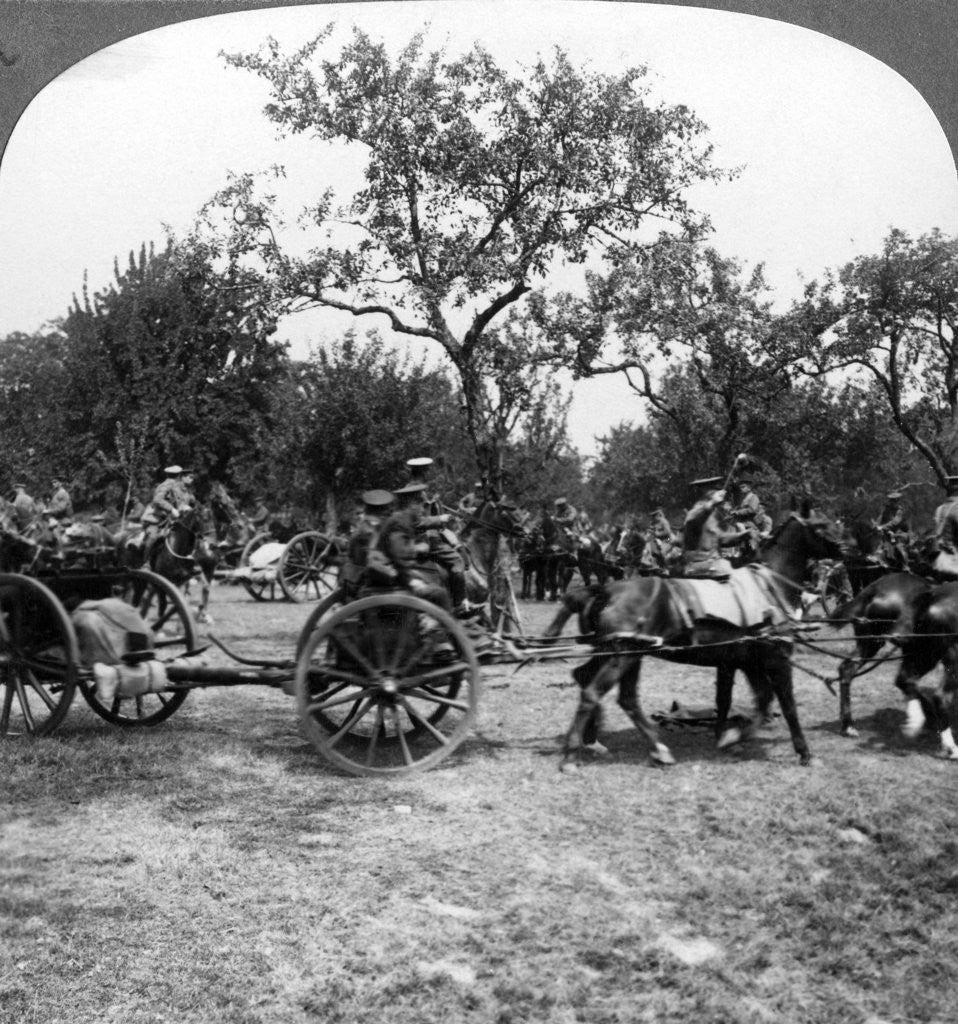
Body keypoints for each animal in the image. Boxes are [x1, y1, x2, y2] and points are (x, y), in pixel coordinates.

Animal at [560, 503, 847, 770]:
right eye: (821, 525)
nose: (848, 549)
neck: (768, 586)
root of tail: (606, 591)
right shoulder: (776, 660)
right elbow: (787, 704)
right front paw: (803, 752)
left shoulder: (745, 663)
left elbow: (756, 701)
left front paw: (730, 737)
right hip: (622, 657)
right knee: (594, 692)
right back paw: (573, 754)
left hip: (625, 656)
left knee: (606, 688)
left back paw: (611, 742)